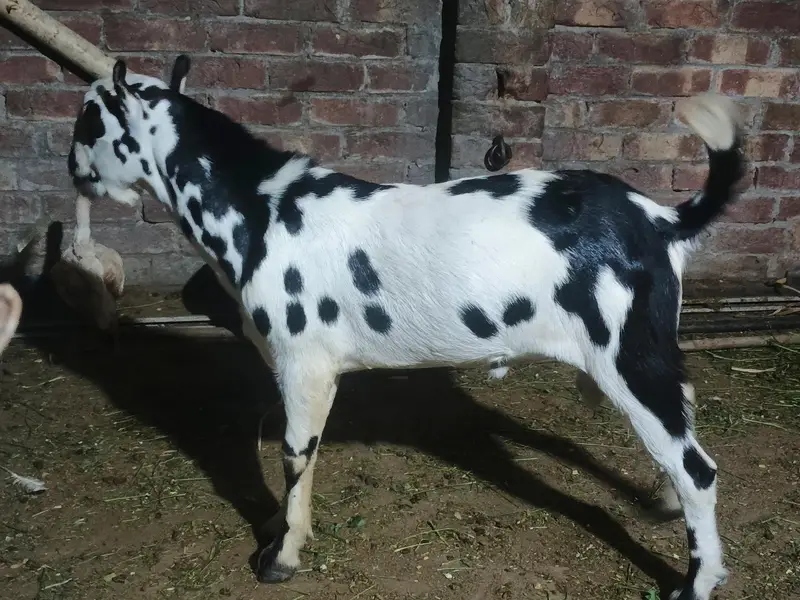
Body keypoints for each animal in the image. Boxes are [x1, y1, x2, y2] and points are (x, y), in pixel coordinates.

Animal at [66, 55, 744, 600]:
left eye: (89, 121)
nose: (71, 167)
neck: (262, 210)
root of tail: (660, 219)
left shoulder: (304, 363)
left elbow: (294, 454)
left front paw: (281, 556)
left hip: (627, 359)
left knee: (698, 467)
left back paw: (696, 581)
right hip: (646, 350)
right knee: (683, 412)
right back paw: (662, 503)